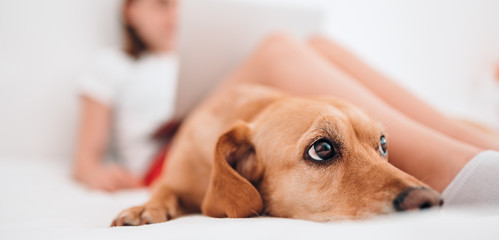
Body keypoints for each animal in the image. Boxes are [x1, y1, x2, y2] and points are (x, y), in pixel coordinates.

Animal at [112, 83, 442, 225]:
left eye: (383, 144)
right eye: (322, 149)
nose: (429, 201)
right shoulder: (174, 179)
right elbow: (163, 190)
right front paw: (144, 208)